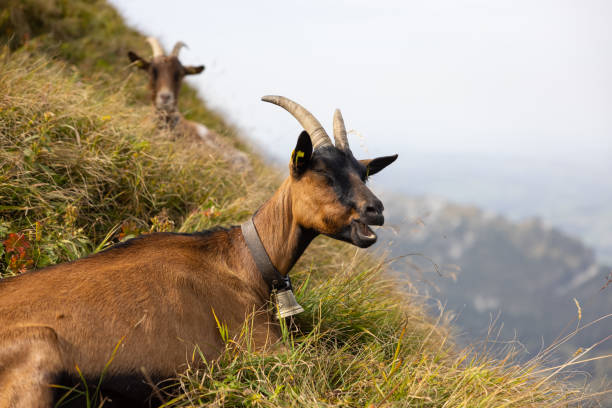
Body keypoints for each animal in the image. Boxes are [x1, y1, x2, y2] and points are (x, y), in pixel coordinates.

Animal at [0, 95, 396, 408]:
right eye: (323, 172)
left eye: (364, 173)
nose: (376, 209)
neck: (245, 262)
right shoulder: (261, 348)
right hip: (40, 350)